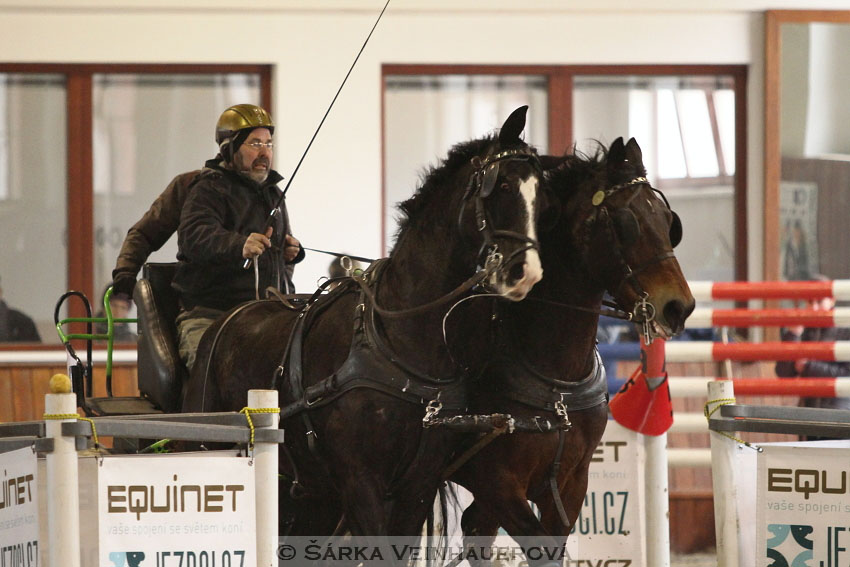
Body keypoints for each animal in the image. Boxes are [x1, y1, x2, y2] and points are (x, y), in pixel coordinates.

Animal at [181, 106, 548, 544]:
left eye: (540, 192)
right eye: (502, 185)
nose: (526, 273)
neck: (400, 342)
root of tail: (230, 318)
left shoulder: (418, 485)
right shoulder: (361, 482)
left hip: (312, 496)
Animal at [448, 139, 692, 567]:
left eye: (668, 222)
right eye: (625, 223)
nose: (679, 307)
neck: (555, 380)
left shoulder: (570, 481)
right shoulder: (498, 483)